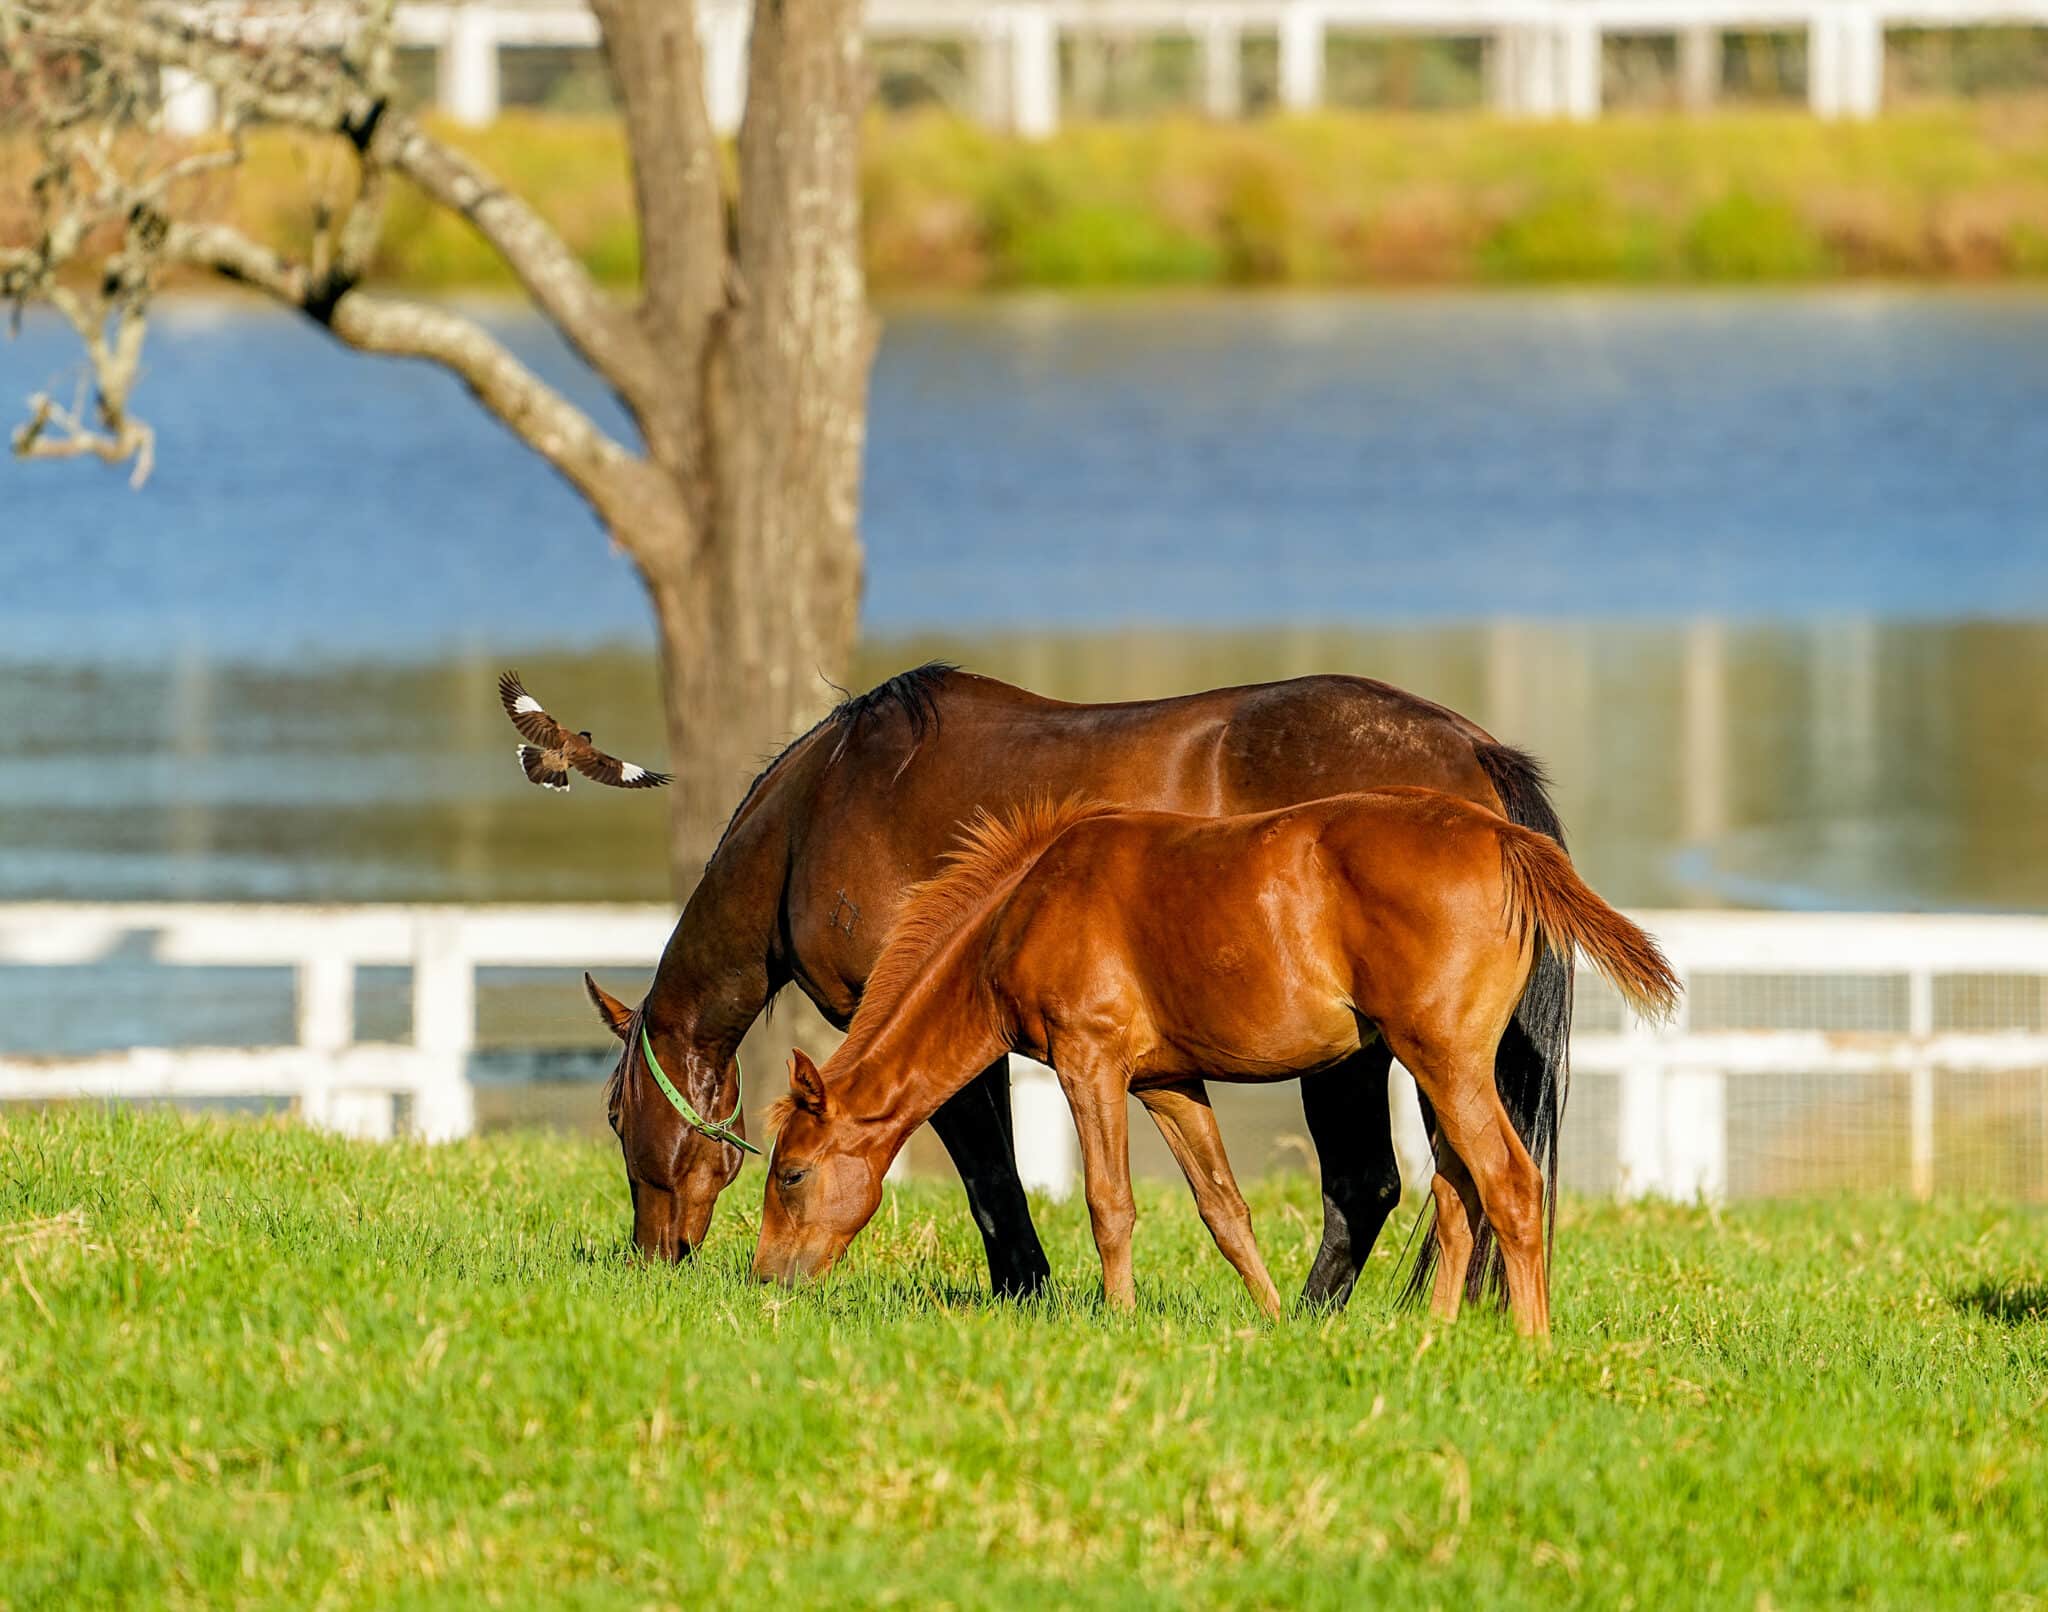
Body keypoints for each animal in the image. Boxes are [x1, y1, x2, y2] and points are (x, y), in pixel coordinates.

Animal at [585, 663, 1572, 1310]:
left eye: (615, 1116)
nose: (652, 1256)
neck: (823, 805)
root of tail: (1475, 750)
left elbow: (992, 1175)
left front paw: (1026, 1290)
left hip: (1363, 1053)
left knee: (1372, 1185)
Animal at [753, 790, 1679, 1335]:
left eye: (791, 1174)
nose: (765, 1280)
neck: (1025, 906)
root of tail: (1501, 835)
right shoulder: (1169, 1084)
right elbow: (1224, 1210)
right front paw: (1273, 1322)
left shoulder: (1090, 1066)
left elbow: (1109, 1204)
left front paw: (1119, 1322)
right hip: (1435, 1072)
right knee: (1458, 1197)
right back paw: (1436, 1338)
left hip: (1446, 1064)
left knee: (1511, 1189)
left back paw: (1532, 1345)